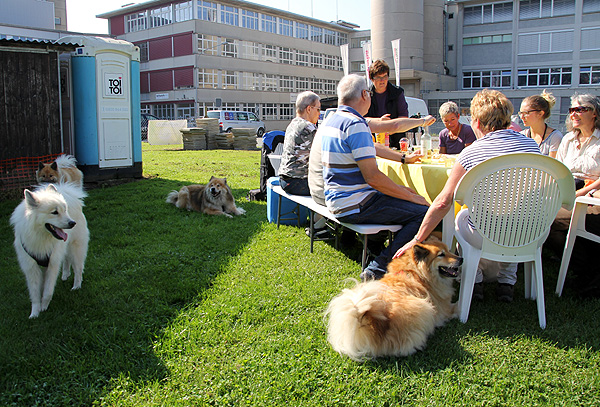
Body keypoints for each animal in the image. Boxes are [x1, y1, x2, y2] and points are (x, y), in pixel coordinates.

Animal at [9, 183, 89, 320]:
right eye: (54, 212)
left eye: (64, 210)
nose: (72, 223)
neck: (40, 237)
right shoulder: (31, 268)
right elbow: (35, 293)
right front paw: (34, 313)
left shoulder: (52, 264)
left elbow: (47, 291)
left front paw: (44, 307)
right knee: (66, 260)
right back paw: (65, 275)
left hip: (75, 249)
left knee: (78, 269)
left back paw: (76, 286)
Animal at [326, 237, 462, 362]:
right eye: (441, 254)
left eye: (449, 251)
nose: (461, 259)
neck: (416, 273)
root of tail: (376, 324)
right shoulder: (444, 308)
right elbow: (456, 307)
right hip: (424, 307)